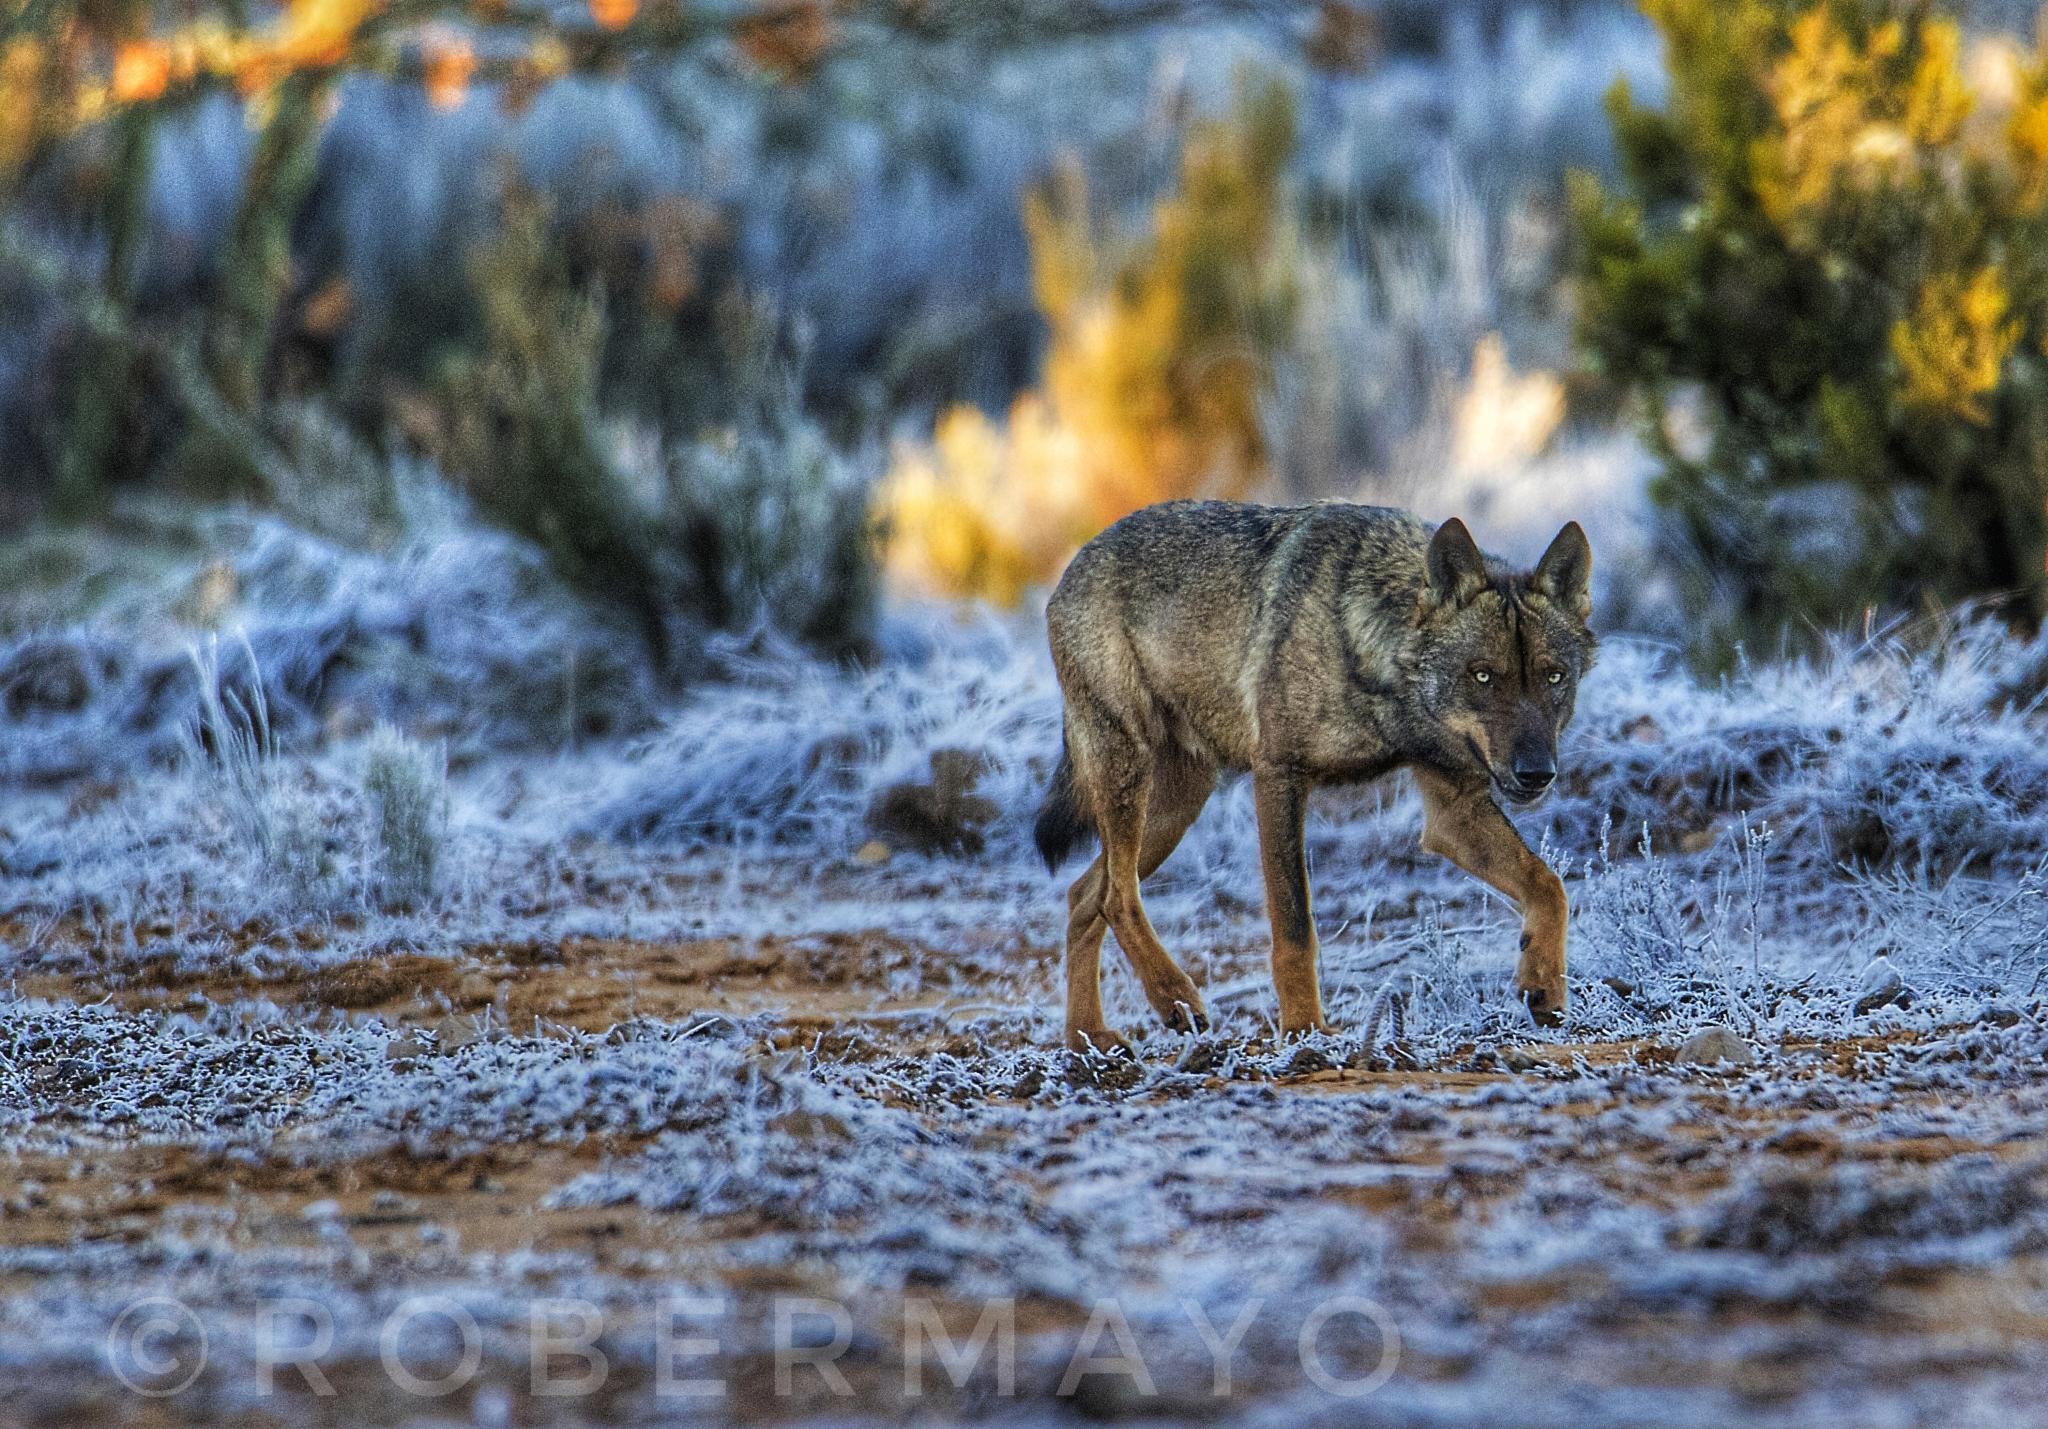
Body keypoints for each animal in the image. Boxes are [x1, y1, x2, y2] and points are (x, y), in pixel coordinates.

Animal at [1034, 500, 1595, 1052]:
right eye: (1482, 676)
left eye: (1554, 677)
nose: (1537, 773)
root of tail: (1075, 563)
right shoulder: (1279, 775)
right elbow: (1295, 927)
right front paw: (1305, 1031)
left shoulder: (1454, 812)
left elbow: (1550, 886)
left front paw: (1544, 987)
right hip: (1130, 776)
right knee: (1117, 897)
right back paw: (1175, 998)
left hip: (1176, 809)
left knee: (1085, 895)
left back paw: (1087, 1039)